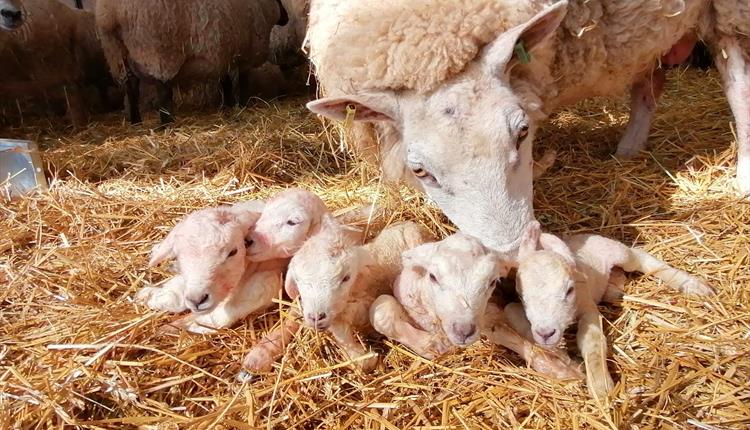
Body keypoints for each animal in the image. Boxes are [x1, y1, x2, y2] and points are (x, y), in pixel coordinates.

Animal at [95, 0, 290, 124]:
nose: (287, 18)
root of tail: (111, 14)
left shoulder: (221, 55)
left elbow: (225, 82)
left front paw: (227, 105)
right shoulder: (245, 54)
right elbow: (242, 83)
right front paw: (242, 104)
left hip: (118, 55)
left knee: (131, 89)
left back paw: (136, 121)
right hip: (157, 51)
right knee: (163, 91)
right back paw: (166, 124)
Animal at [135, 200, 288, 334]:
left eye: (233, 252)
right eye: (179, 254)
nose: (197, 300)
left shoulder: (266, 281)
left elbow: (228, 310)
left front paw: (187, 325)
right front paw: (148, 295)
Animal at [306, 0, 750, 254]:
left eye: (522, 132)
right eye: (420, 171)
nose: (513, 252)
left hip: (726, 10)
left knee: (737, 82)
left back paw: (742, 176)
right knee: (647, 84)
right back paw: (628, 151)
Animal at [512, 222, 716, 400]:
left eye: (569, 290)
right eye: (521, 295)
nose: (546, 333)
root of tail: (582, 236)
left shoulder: (587, 305)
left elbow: (592, 339)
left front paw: (601, 387)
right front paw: (557, 352)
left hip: (618, 252)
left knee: (638, 257)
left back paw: (691, 284)